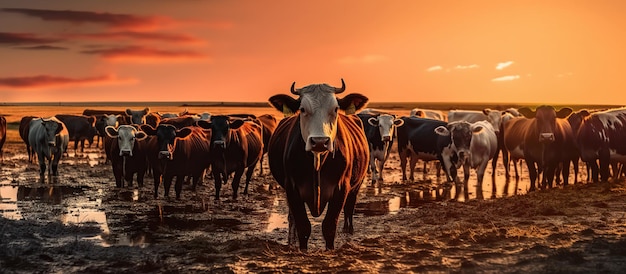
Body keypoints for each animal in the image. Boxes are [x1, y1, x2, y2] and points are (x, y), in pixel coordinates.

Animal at [266, 78, 368, 250]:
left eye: (335, 109)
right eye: (302, 109)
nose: (319, 141)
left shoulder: (341, 187)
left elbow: (329, 226)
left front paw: (329, 250)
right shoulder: (292, 188)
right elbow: (303, 226)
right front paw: (302, 249)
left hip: (357, 184)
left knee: (349, 206)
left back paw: (348, 230)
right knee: (292, 218)